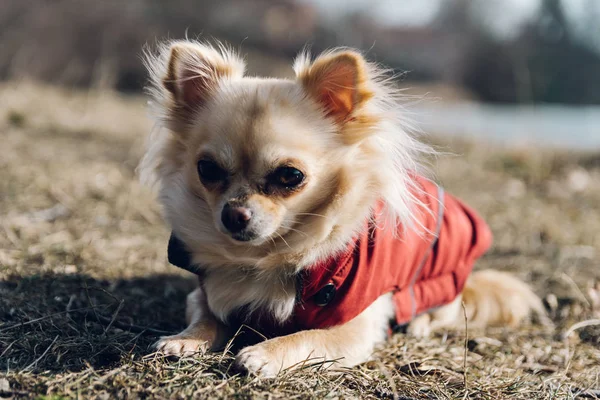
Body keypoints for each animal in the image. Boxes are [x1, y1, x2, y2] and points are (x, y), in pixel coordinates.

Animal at [139, 40, 544, 378]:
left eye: (290, 176)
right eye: (207, 169)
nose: (234, 214)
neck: (266, 258)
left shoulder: (355, 326)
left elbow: (306, 337)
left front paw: (265, 353)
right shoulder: (203, 293)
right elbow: (206, 316)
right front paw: (185, 338)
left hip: (439, 286)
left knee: (439, 312)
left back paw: (417, 323)